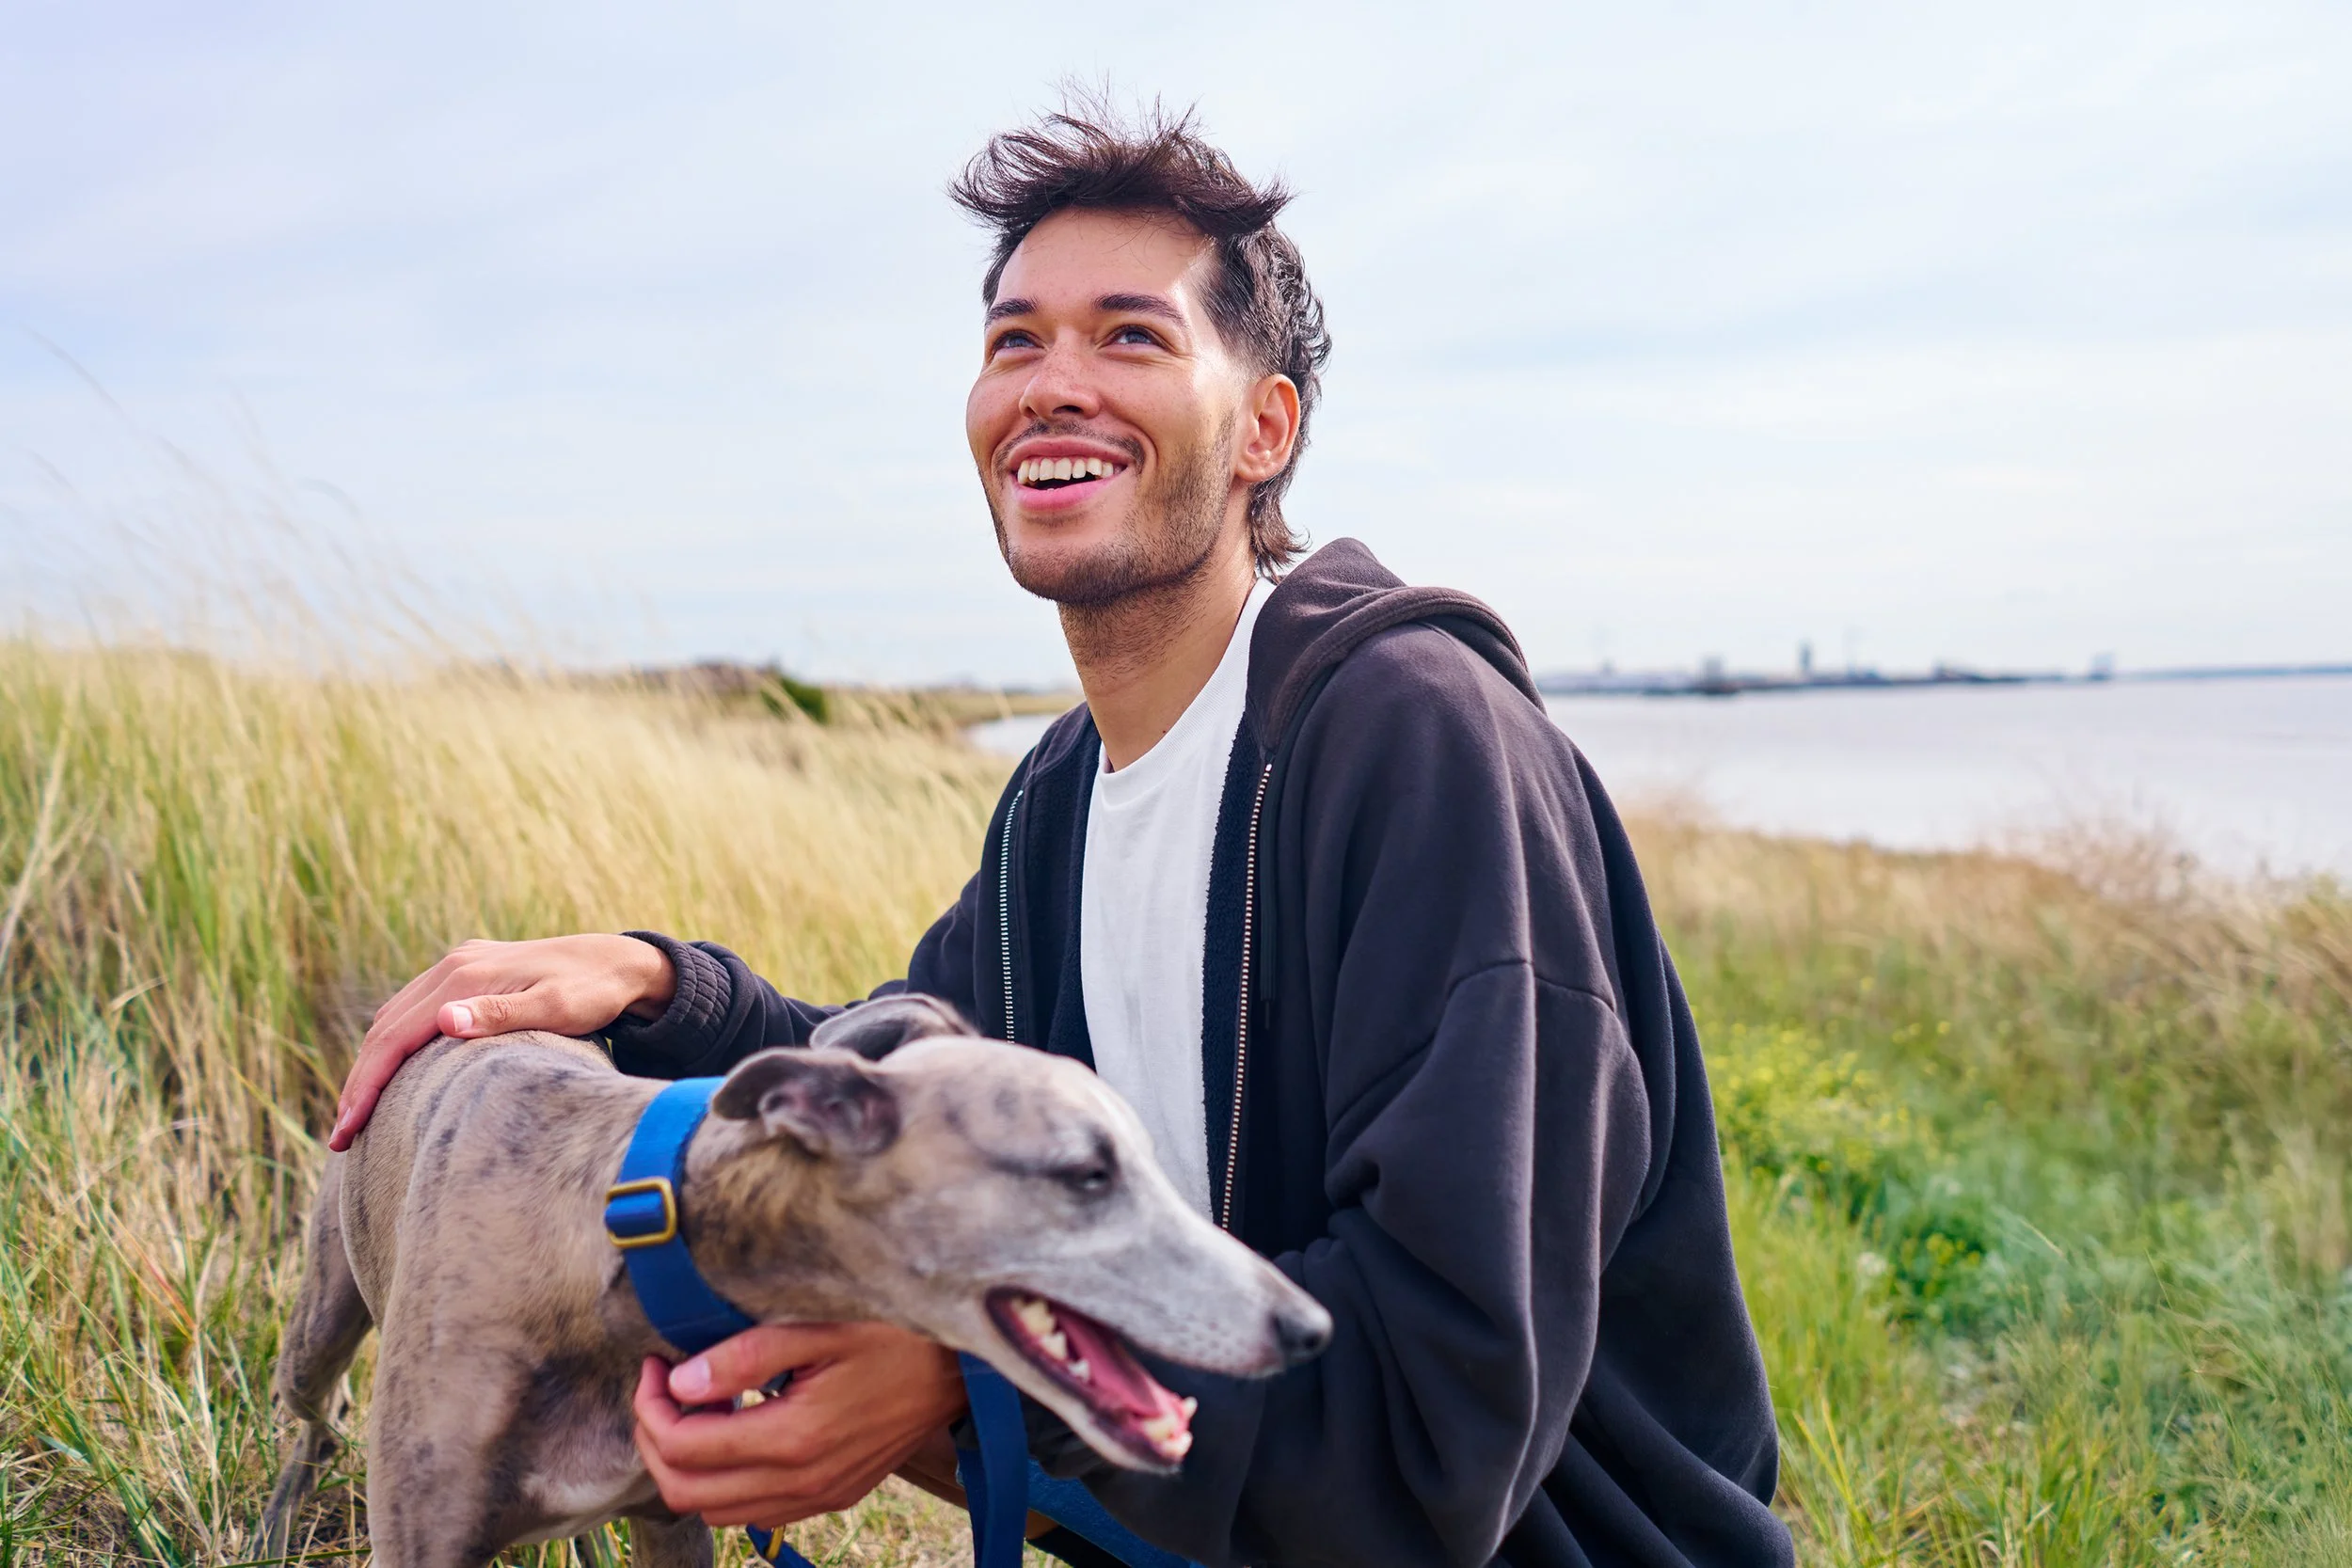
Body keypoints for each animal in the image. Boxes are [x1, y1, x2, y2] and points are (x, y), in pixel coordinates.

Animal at [259, 994, 1332, 1567]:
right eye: (1086, 1173)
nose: (1311, 1329)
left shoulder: (670, 1521)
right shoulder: (422, 1537)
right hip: (319, 1324)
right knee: (315, 1416)